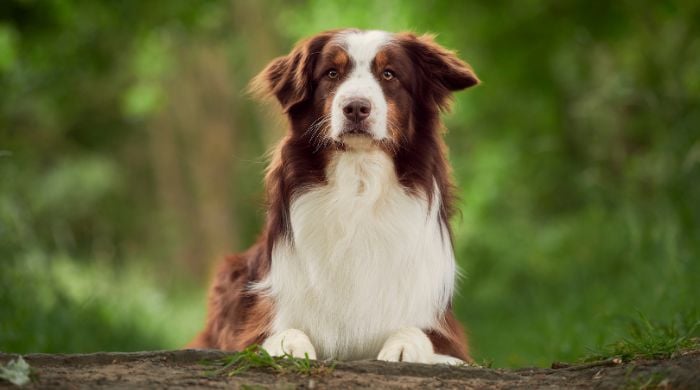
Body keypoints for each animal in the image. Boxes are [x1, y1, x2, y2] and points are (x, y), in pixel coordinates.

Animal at [189, 29, 478, 364]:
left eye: (389, 74)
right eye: (331, 73)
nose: (355, 107)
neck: (358, 182)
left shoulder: (445, 335)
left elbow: (416, 332)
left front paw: (404, 348)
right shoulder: (262, 319)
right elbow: (282, 332)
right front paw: (290, 347)